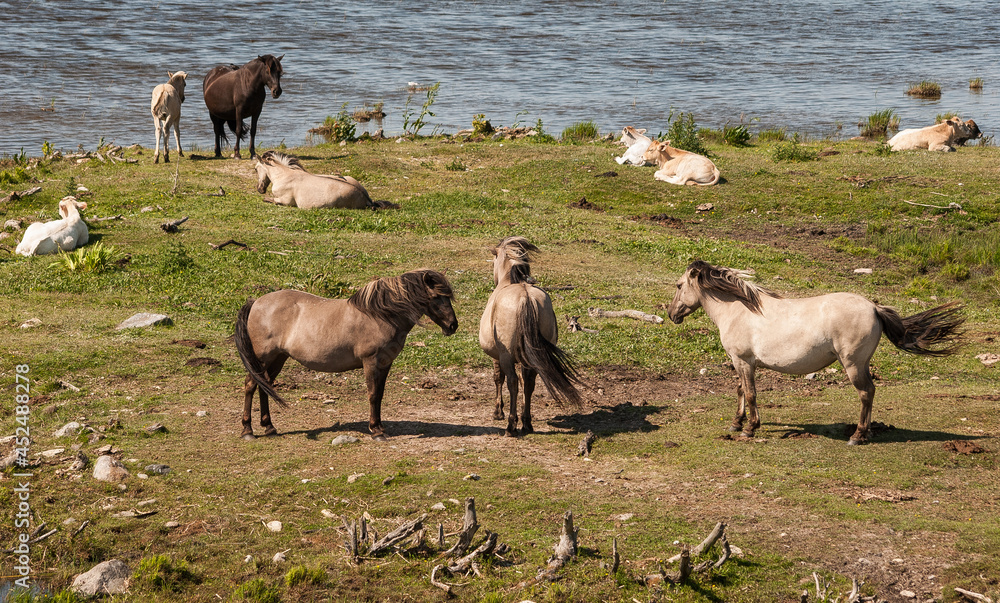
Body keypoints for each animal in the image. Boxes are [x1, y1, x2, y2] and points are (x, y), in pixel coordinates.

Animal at [234, 269, 457, 441]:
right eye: (436, 297)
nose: (452, 326)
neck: (381, 315)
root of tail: (256, 302)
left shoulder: (385, 363)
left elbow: (380, 395)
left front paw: (380, 427)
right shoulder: (371, 362)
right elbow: (373, 394)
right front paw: (376, 431)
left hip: (278, 358)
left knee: (265, 385)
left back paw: (269, 427)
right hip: (264, 357)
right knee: (251, 385)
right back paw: (248, 430)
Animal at [479, 237, 583, 436]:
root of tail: (525, 297)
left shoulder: (497, 356)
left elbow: (498, 378)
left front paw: (498, 412)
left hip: (506, 356)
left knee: (513, 382)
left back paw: (511, 425)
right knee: (529, 383)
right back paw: (526, 422)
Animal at [666, 260, 964, 445]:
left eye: (679, 286)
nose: (671, 314)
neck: (739, 310)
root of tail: (873, 307)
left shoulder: (744, 361)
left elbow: (750, 394)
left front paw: (749, 428)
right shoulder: (741, 362)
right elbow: (741, 390)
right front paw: (736, 423)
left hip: (852, 364)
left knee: (865, 393)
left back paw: (857, 436)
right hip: (862, 363)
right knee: (871, 392)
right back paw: (866, 433)